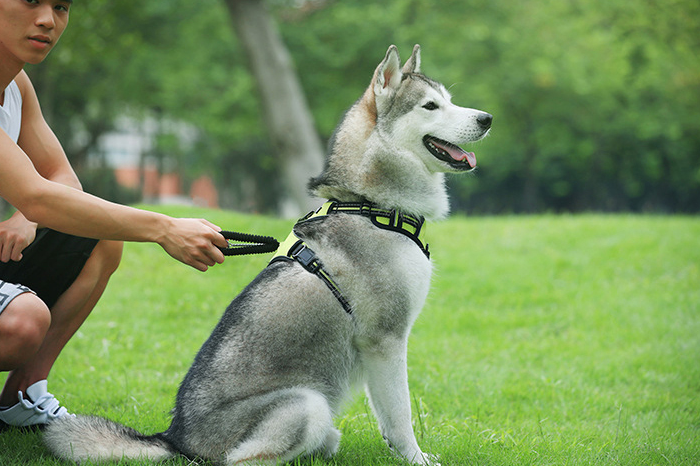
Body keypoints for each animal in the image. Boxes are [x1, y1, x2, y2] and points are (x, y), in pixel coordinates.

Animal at [43, 44, 492, 466]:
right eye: (430, 106)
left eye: (450, 100)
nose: (486, 118)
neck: (368, 204)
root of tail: (176, 438)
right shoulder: (385, 340)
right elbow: (400, 417)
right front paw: (416, 459)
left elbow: (390, 416)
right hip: (307, 403)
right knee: (241, 459)